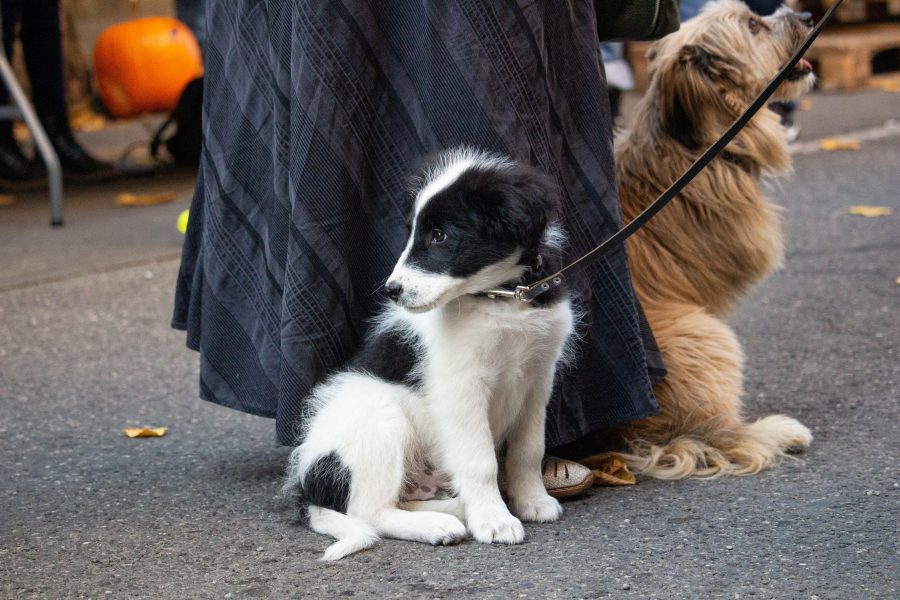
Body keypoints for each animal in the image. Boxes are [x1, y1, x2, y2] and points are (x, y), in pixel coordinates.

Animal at [284, 148, 572, 560]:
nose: (392, 290)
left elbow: (529, 449)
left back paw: (455, 510)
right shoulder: (462, 387)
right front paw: (494, 521)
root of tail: (308, 484)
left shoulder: (538, 378)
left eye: (439, 236)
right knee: (370, 511)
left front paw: (532, 500)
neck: (502, 299)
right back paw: (437, 525)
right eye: (414, 232)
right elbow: (480, 461)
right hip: (380, 422)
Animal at [612, 0, 816, 478]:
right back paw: (778, 431)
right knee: (722, 436)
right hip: (706, 337)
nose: (809, 16)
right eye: (754, 25)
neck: (695, 145)